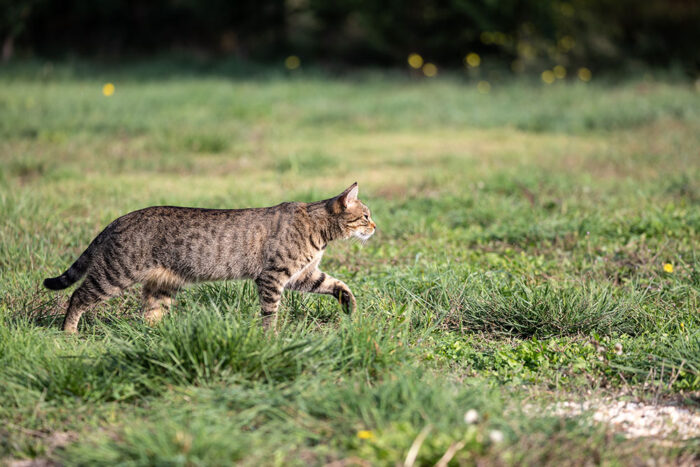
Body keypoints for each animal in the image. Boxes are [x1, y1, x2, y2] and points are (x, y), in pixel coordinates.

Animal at [42, 183, 378, 332]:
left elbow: (337, 284)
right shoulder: (273, 276)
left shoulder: (303, 275)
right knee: (77, 296)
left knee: (149, 314)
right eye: (365, 216)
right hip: (115, 274)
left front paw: (349, 305)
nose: (375, 226)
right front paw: (270, 336)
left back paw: (157, 335)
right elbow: (270, 312)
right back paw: (68, 332)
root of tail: (118, 219)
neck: (319, 233)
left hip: (161, 286)